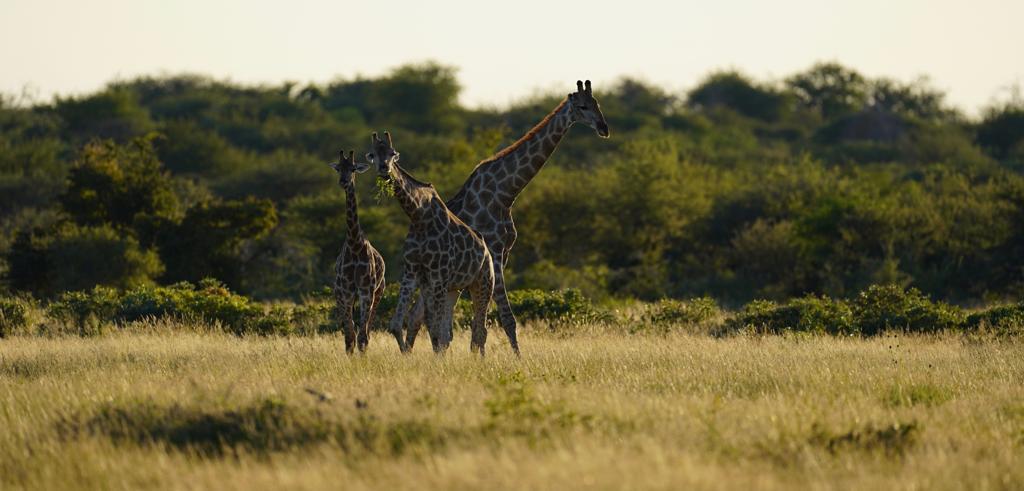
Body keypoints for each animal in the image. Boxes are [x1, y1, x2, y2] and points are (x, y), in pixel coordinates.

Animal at [327, 149, 385, 352]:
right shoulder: (345, 292)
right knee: (352, 330)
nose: (343, 182)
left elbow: (362, 336)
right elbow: (349, 336)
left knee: (366, 332)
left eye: (352, 168)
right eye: (338, 168)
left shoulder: (366, 291)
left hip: (379, 292)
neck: (354, 243)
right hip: (340, 294)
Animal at [368, 130, 495, 352]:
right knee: (451, 331)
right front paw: (406, 353)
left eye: (392, 153)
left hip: (483, 283)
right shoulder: (412, 272)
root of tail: (487, 251)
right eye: (373, 155)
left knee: (480, 329)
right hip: (454, 288)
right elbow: (397, 324)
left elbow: (435, 331)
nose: (384, 169)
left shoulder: (438, 276)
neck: (418, 216)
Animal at [399, 81, 606, 356]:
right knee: (417, 317)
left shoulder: (503, 255)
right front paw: (515, 359)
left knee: (421, 317)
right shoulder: (495, 254)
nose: (604, 128)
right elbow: (504, 319)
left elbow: (483, 324)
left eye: (597, 104)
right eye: (582, 107)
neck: (506, 192)